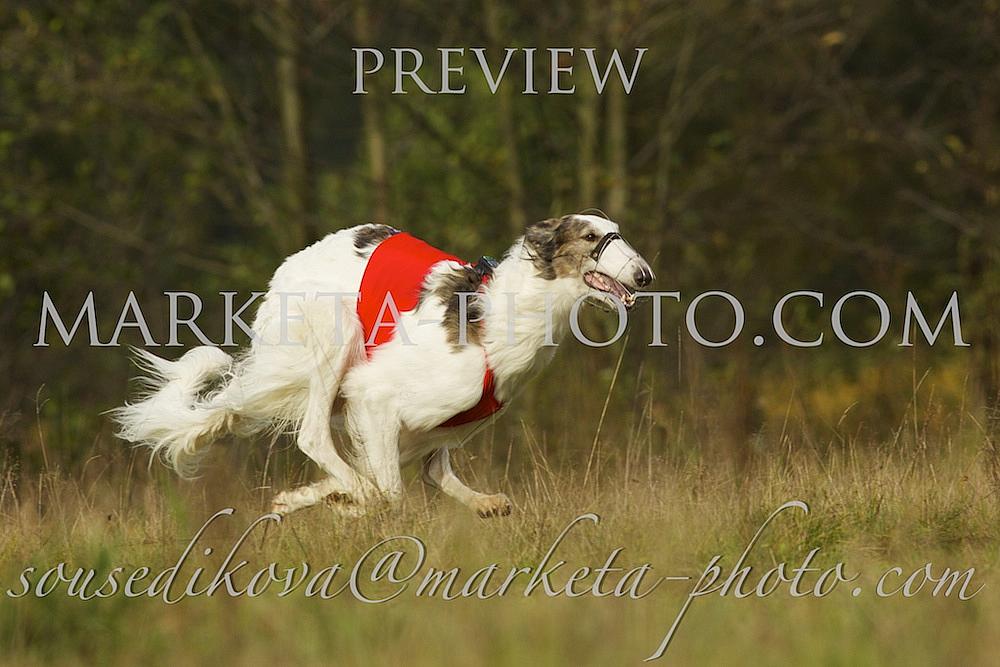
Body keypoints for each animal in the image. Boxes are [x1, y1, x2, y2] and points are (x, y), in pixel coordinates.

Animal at [113, 214, 653, 518]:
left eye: (619, 233)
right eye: (592, 236)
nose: (645, 275)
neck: (496, 319)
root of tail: (290, 264)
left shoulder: (433, 431)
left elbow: (434, 474)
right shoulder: (374, 398)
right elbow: (388, 492)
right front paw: (349, 502)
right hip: (334, 336)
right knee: (312, 434)